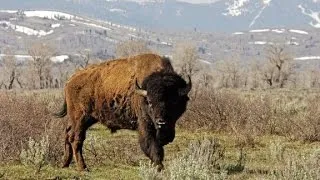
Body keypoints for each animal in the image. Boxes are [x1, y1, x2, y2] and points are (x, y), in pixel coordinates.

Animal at [54, 52, 192, 171]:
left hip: (85, 118)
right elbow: (153, 147)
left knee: (68, 134)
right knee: (76, 139)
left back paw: (65, 164)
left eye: (173, 101)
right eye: (150, 102)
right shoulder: (145, 125)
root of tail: (70, 80)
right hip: (80, 118)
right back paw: (83, 168)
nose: (161, 122)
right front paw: (159, 167)